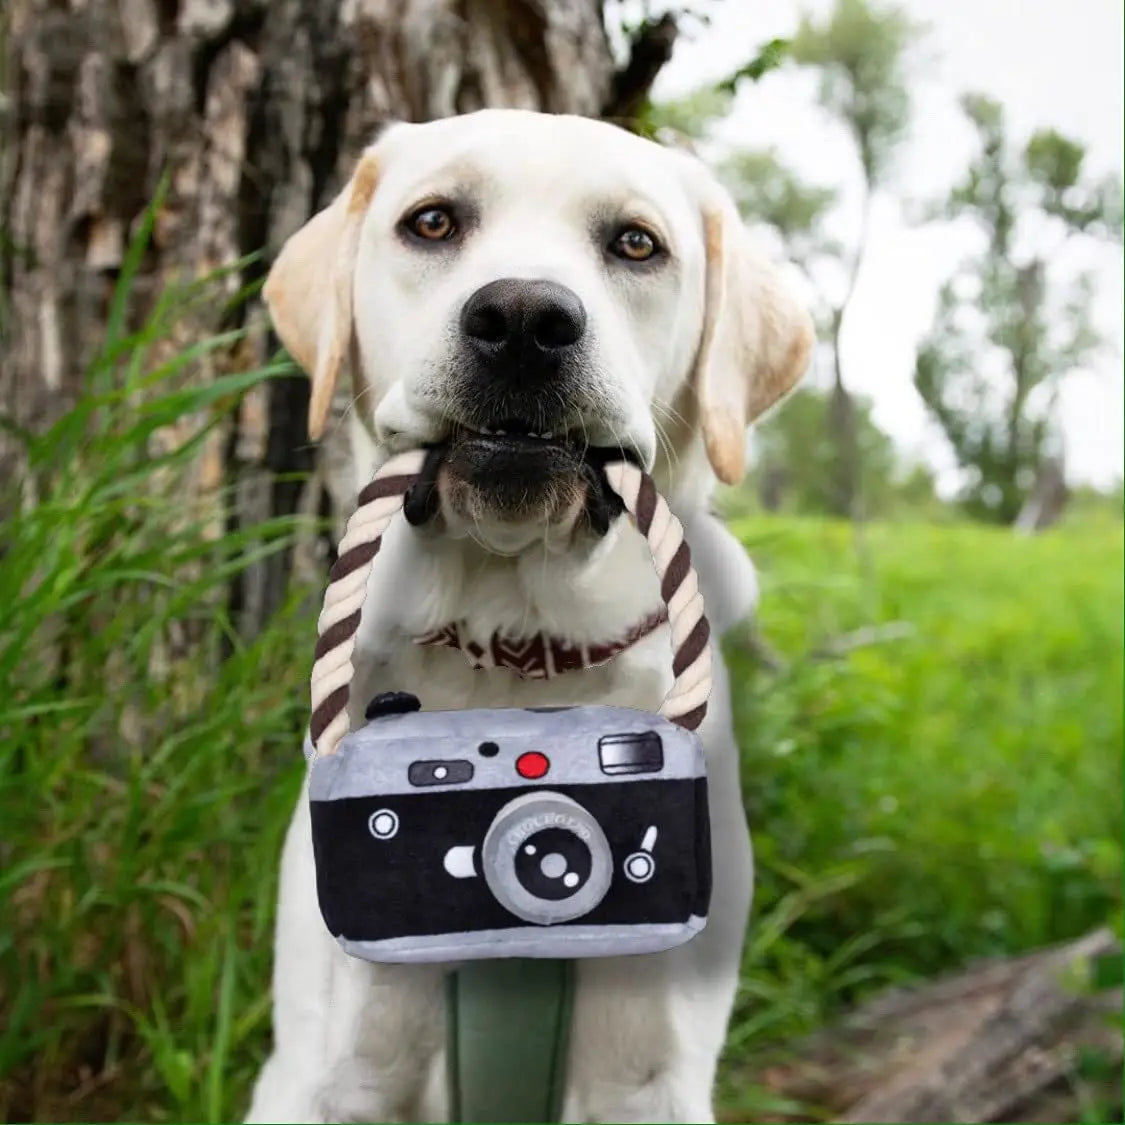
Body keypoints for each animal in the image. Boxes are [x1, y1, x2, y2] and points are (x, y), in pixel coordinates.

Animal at [246, 107, 814, 1125]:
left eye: (636, 243)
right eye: (432, 222)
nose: (520, 320)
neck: (513, 654)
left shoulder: (650, 1076)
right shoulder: (334, 1070)